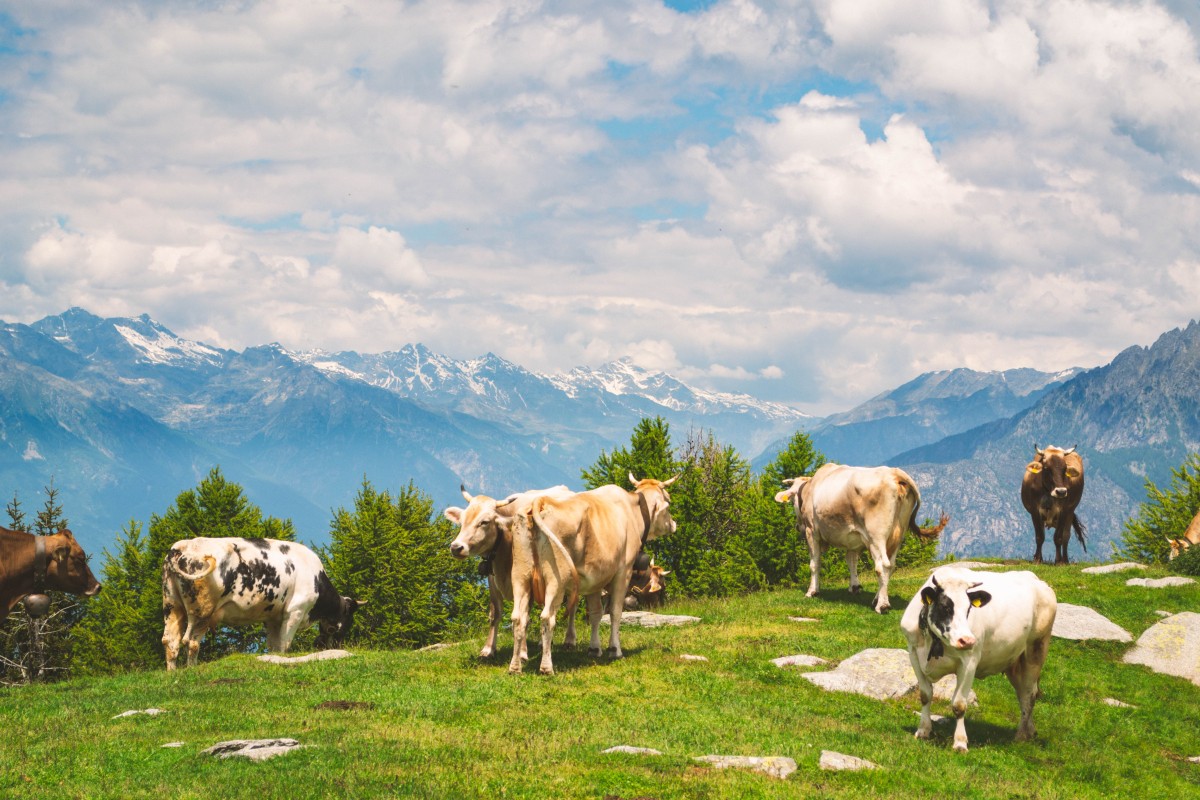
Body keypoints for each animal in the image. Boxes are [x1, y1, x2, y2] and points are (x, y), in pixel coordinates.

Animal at [162, 537, 362, 671]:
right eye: (347, 619)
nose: (337, 645)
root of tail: (182, 546)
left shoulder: (273, 617)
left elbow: (274, 646)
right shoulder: (295, 611)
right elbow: (285, 645)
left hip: (172, 605)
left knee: (170, 641)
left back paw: (173, 673)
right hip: (203, 610)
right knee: (191, 642)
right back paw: (191, 670)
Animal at [446, 484, 576, 662]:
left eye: (484, 522)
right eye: (462, 520)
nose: (456, 547)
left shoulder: (527, 582)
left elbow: (524, 616)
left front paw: (521, 652)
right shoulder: (492, 580)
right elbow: (495, 614)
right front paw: (488, 649)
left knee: (572, 603)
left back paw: (569, 640)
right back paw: (543, 643)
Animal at [520, 474, 681, 676]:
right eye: (669, 500)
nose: (674, 524)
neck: (633, 510)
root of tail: (543, 502)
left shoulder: (595, 578)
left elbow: (596, 614)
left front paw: (594, 648)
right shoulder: (623, 572)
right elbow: (615, 612)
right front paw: (615, 649)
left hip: (519, 577)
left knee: (519, 616)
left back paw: (519, 661)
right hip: (556, 581)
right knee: (547, 617)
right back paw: (546, 666)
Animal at [772, 462, 950, 614]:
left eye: (792, 500)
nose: (797, 526)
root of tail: (894, 473)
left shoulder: (812, 532)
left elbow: (814, 563)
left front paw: (812, 591)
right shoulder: (853, 539)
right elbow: (852, 562)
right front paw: (854, 587)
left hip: (876, 535)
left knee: (882, 565)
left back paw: (882, 605)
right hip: (898, 534)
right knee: (891, 566)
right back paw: (877, 598)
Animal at [902, 566, 1060, 753]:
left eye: (969, 609)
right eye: (944, 607)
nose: (967, 640)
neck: (932, 642)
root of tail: (1038, 582)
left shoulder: (969, 661)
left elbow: (959, 704)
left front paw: (960, 742)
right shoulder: (913, 654)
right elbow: (926, 695)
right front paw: (923, 731)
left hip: (1036, 650)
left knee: (1029, 695)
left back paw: (1021, 736)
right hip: (1014, 662)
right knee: (1023, 693)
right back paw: (1030, 731)